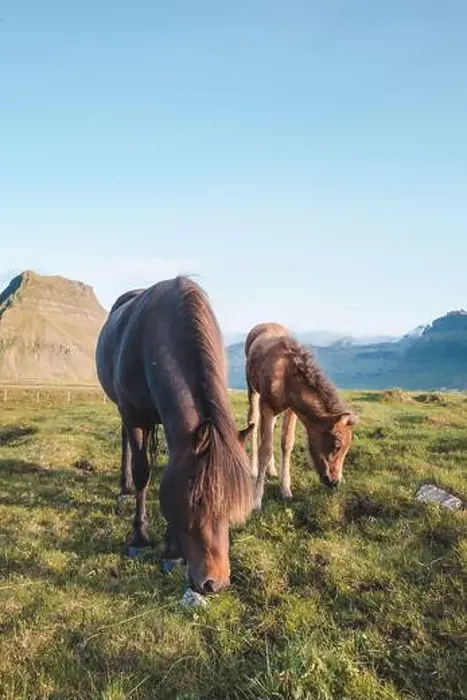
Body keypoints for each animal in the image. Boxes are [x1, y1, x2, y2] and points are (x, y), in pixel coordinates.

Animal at [96, 276, 254, 594]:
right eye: (196, 502)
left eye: (232, 506)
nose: (214, 583)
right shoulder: (134, 417)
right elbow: (144, 472)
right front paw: (140, 538)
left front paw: (172, 551)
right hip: (124, 412)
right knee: (126, 444)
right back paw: (124, 487)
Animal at [245, 323, 356, 510]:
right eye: (337, 446)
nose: (334, 482)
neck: (285, 377)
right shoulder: (266, 406)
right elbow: (265, 450)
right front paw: (256, 500)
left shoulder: (292, 410)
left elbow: (286, 444)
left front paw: (286, 490)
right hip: (253, 390)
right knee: (253, 423)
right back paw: (253, 469)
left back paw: (272, 470)